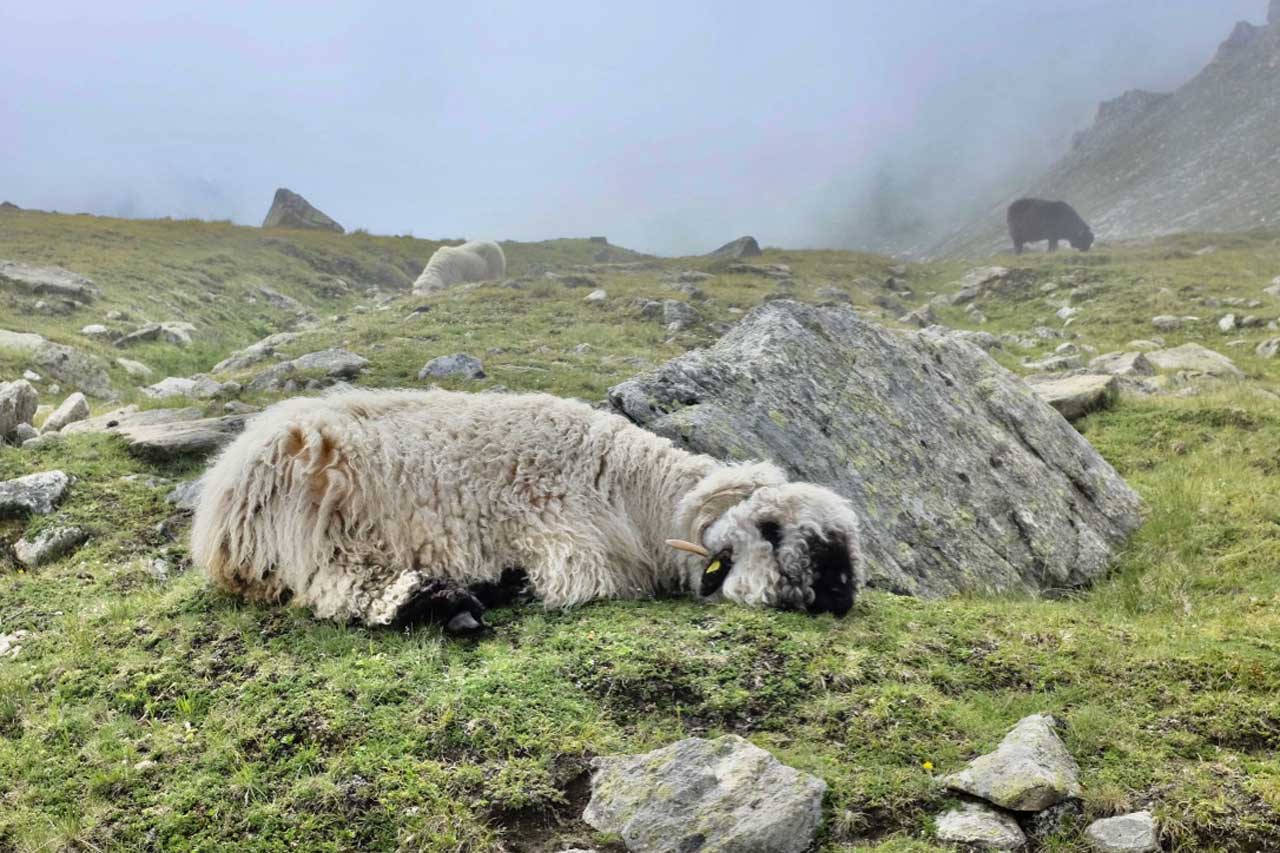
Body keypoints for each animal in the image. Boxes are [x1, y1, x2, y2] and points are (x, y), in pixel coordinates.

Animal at [189, 389, 865, 627]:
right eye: (771, 529)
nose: (840, 590)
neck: (635, 493)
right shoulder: (565, 541)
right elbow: (574, 586)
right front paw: (506, 585)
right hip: (313, 525)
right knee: (338, 588)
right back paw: (446, 603)